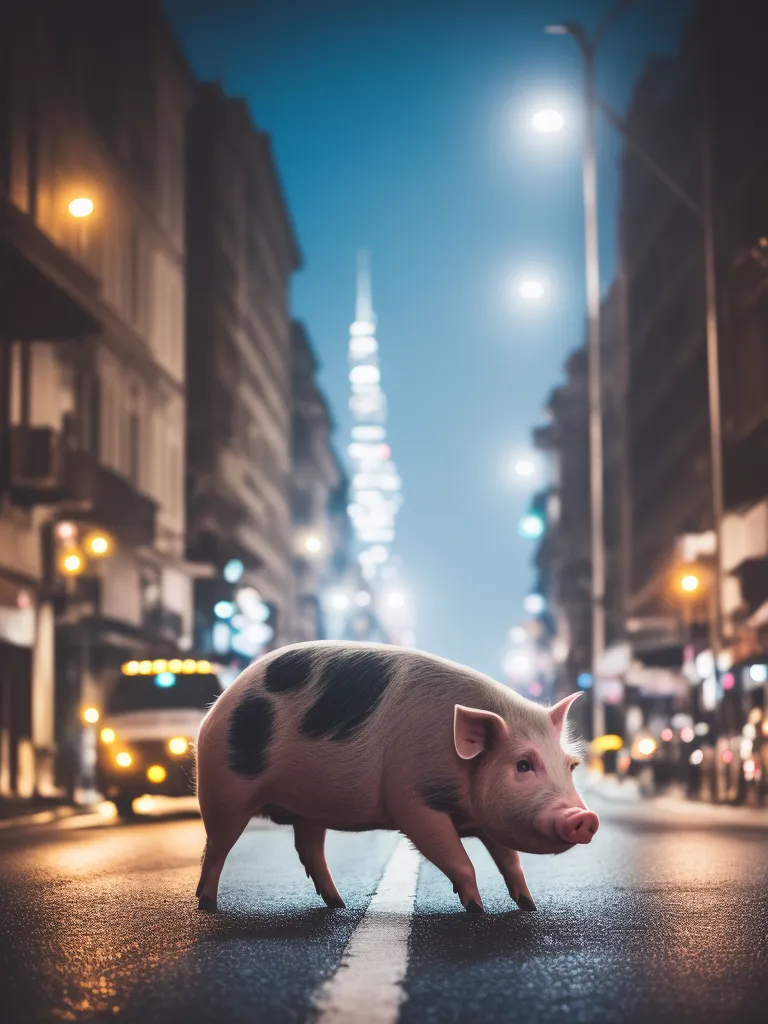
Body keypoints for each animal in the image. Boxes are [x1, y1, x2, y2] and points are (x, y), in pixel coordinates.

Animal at [193, 638, 602, 913]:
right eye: (523, 764)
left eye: (571, 766)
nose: (585, 817)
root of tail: (218, 705)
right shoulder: (413, 801)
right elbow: (457, 858)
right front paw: (476, 909)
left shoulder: (485, 819)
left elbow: (510, 861)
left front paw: (529, 905)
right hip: (223, 788)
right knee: (216, 846)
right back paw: (208, 904)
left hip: (308, 807)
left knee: (308, 848)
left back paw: (338, 903)